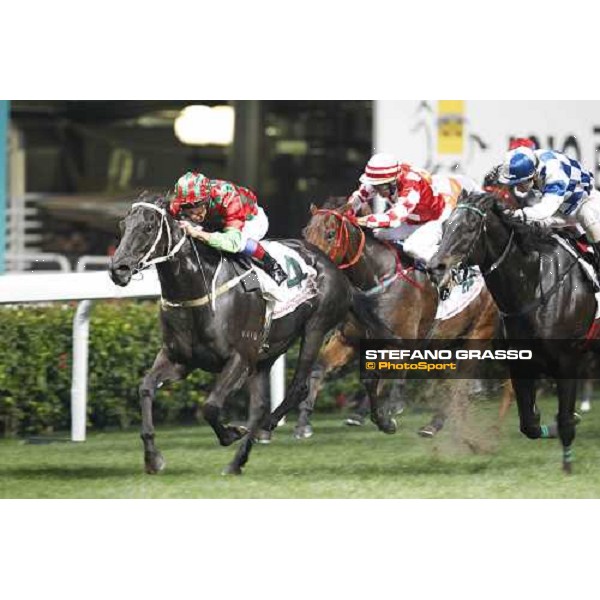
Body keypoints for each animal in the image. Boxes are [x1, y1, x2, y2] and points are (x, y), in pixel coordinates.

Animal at [109, 192, 392, 474]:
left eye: (148, 227)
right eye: (123, 225)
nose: (118, 270)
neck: (200, 289)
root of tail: (333, 266)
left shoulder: (240, 358)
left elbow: (210, 406)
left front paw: (231, 433)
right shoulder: (179, 359)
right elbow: (145, 388)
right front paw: (152, 457)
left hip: (315, 328)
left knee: (297, 388)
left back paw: (269, 428)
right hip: (267, 353)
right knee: (259, 406)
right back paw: (239, 460)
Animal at [292, 196, 508, 436]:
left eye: (330, 234)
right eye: (305, 232)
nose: (310, 268)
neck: (376, 277)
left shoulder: (400, 343)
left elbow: (374, 379)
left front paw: (384, 419)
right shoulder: (348, 339)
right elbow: (319, 368)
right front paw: (303, 423)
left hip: (478, 334)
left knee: (461, 380)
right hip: (447, 342)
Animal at [428, 192, 596, 474]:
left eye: (470, 227)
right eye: (445, 225)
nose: (435, 267)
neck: (534, 285)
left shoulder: (567, 362)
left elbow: (564, 420)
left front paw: (567, 466)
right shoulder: (520, 364)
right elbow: (529, 424)